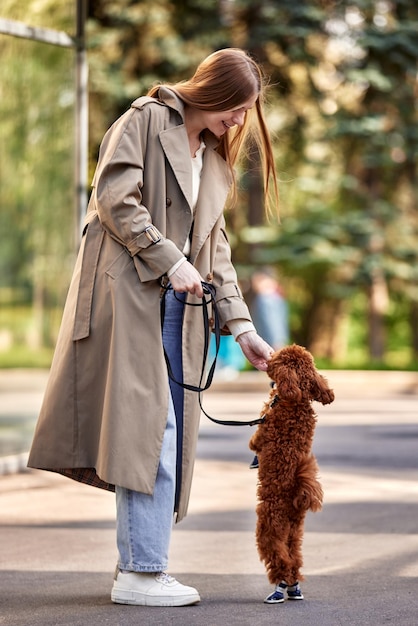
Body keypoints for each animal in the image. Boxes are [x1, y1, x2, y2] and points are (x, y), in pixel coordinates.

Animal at [250, 344, 334, 604]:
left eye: (278, 360)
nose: (267, 358)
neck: (296, 401)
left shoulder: (262, 431)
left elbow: (254, 442)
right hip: (295, 532)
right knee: (294, 559)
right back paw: (294, 587)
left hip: (268, 530)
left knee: (280, 560)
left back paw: (279, 588)